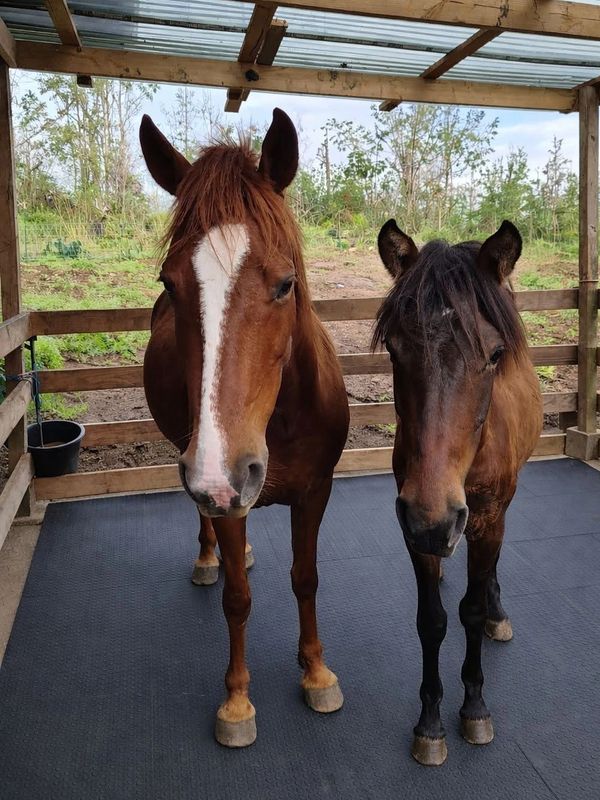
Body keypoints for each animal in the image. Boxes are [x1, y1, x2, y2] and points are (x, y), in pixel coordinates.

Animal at [139, 109, 349, 748]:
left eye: (285, 282)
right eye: (170, 284)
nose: (221, 472)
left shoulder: (315, 492)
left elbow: (306, 578)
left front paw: (316, 671)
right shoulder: (222, 486)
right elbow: (237, 599)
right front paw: (236, 701)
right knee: (210, 527)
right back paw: (209, 557)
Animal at [373, 219, 542, 766]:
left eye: (494, 355)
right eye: (395, 349)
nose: (436, 520)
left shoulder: (485, 518)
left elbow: (469, 612)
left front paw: (473, 707)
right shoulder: (414, 526)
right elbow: (432, 620)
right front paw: (429, 721)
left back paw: (497, 609)